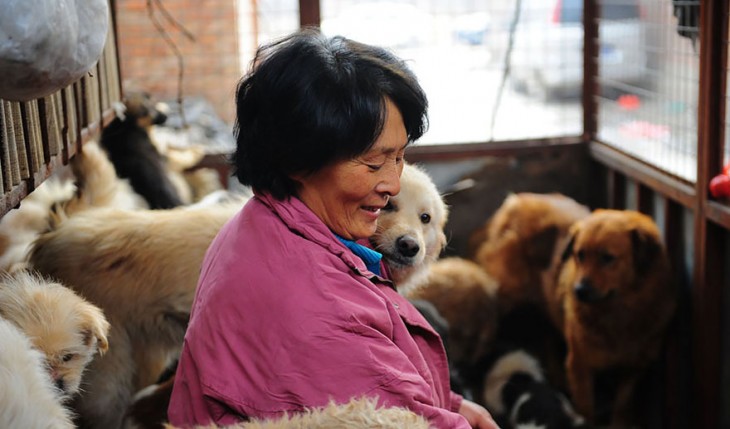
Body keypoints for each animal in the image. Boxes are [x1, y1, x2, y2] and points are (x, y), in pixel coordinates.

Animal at [544, 208, 672, 424]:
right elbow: (586, 409)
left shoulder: (634, 368)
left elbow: (622, 404)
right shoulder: (580, 366)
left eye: (607, 257)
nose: (579, 291)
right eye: (580, 255)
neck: (616, 314)